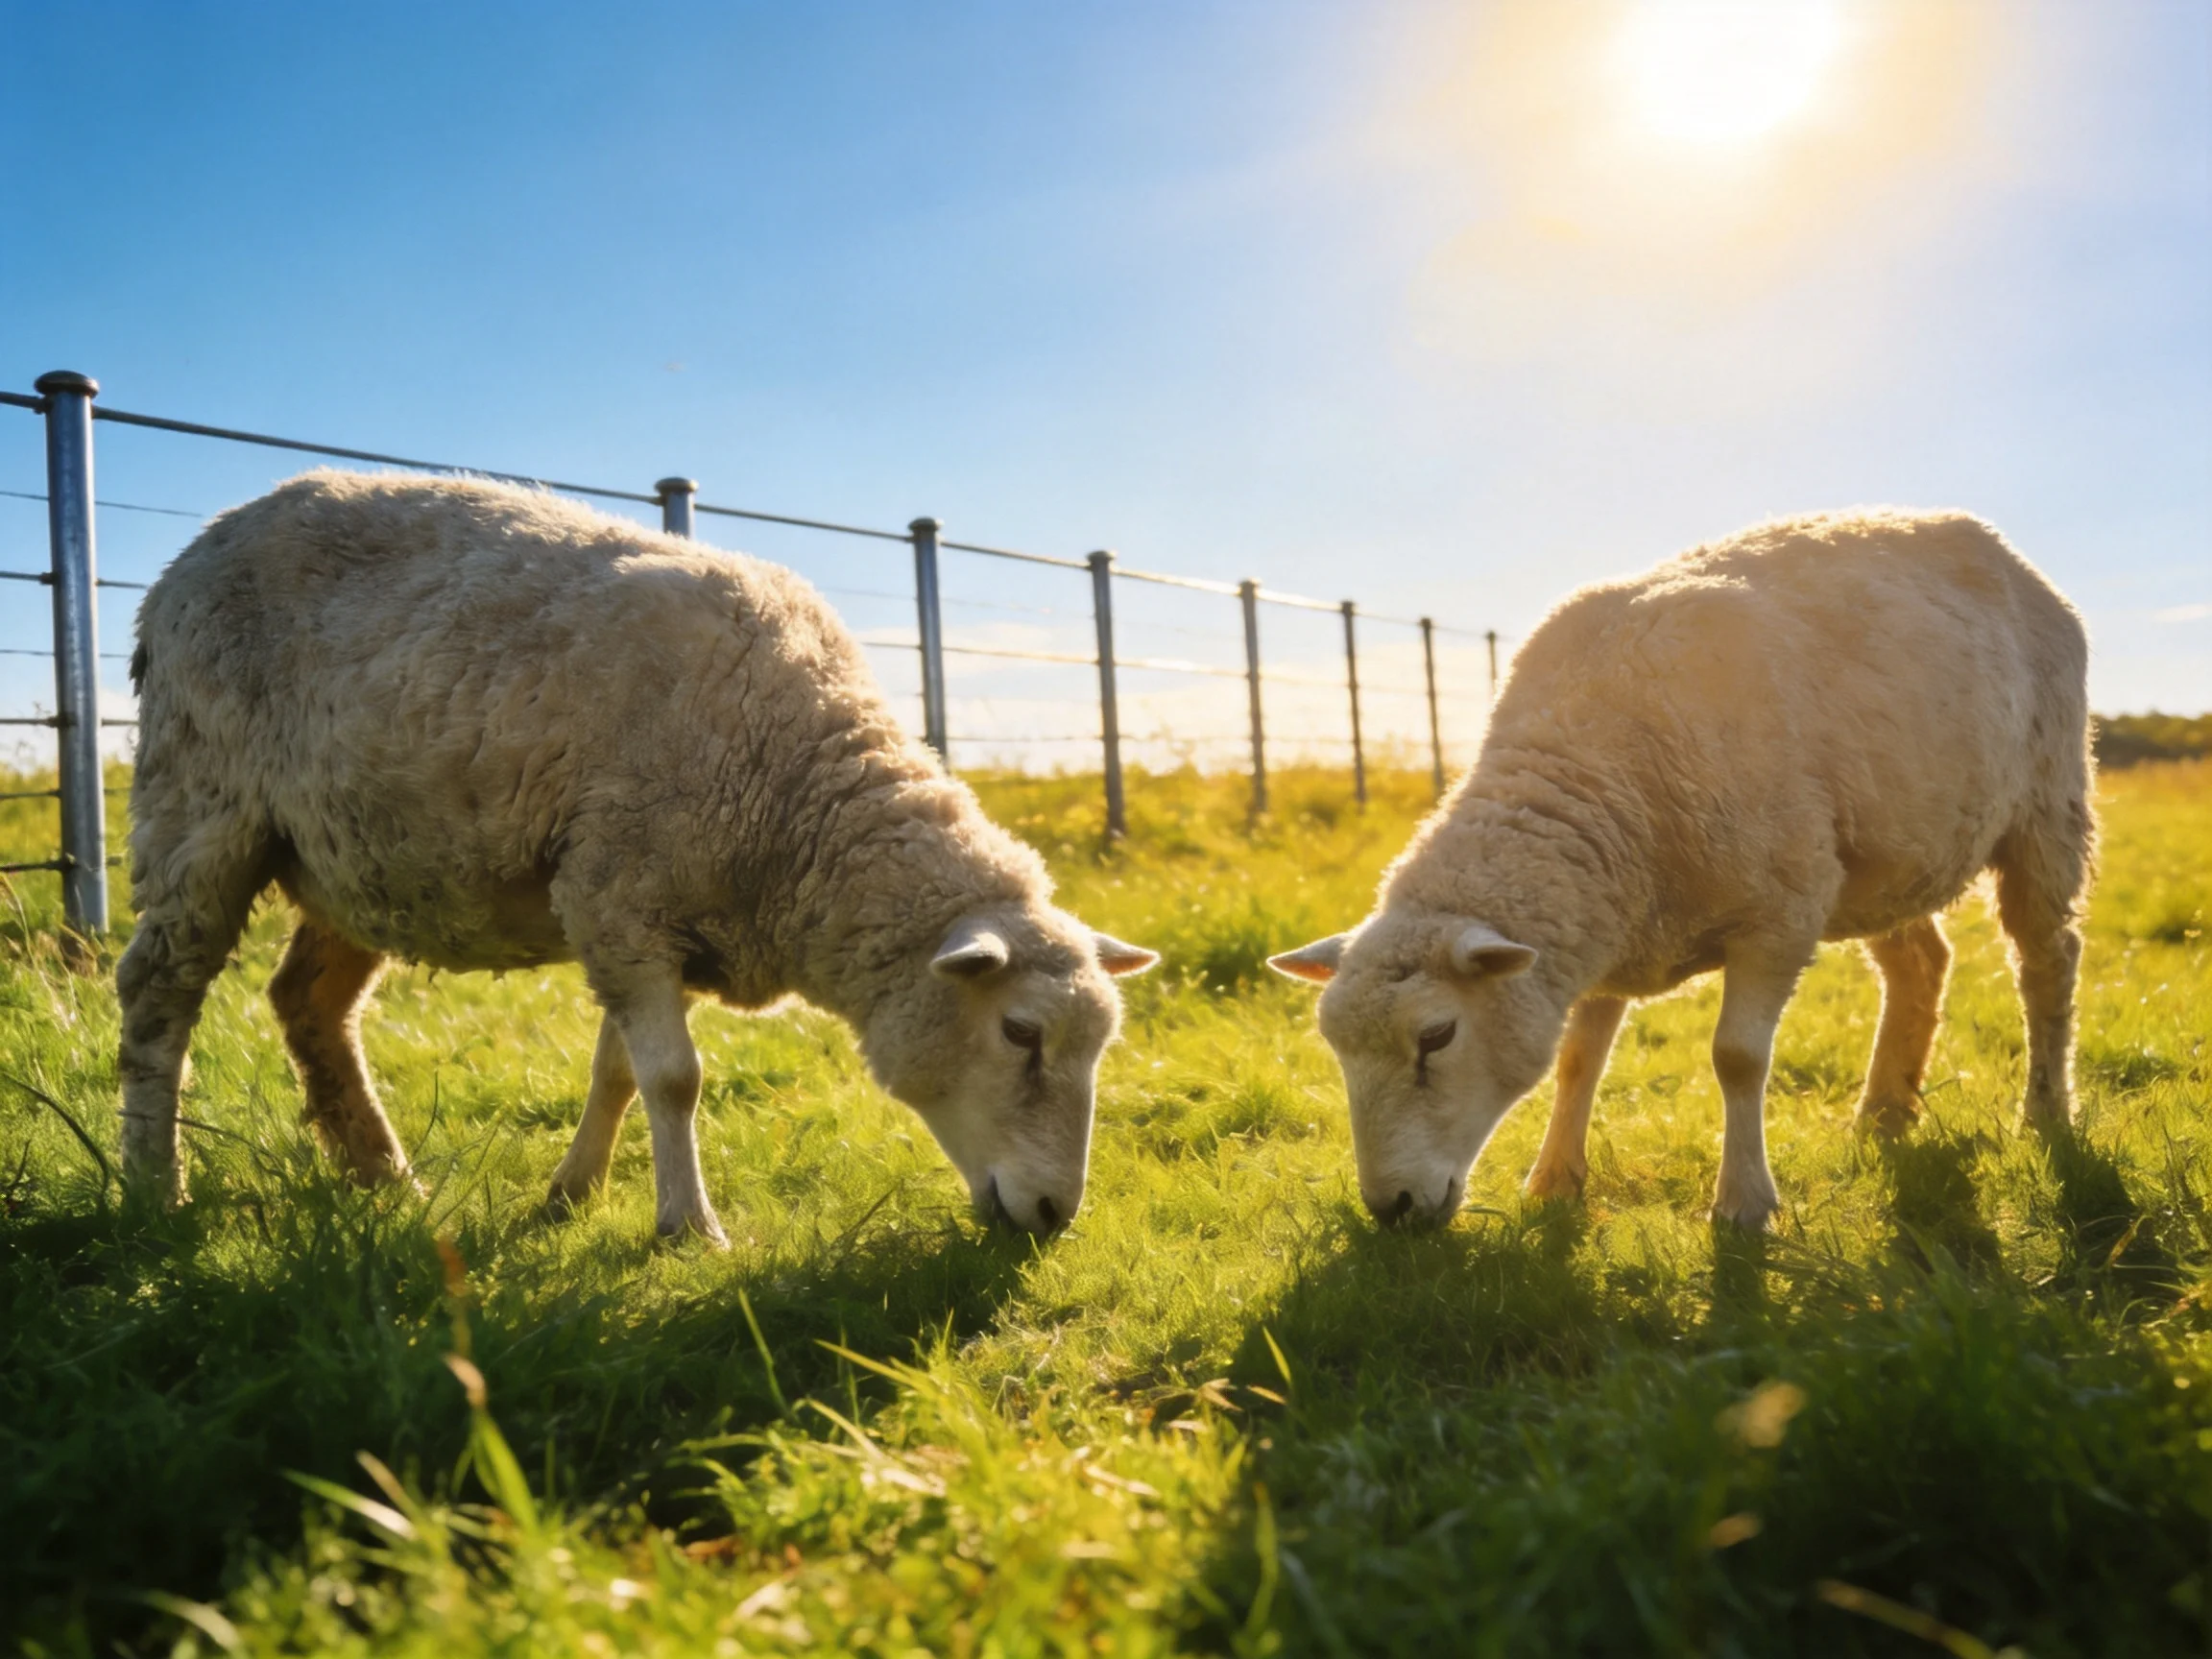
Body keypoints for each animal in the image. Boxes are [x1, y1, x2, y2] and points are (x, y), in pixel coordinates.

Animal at [116, 469, 1156, 1242]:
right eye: (1020, 1033)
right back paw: (152, 1189)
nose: (1056, 1214)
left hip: (353, 857)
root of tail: (187, 558)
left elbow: (618, 1071)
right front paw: (688, 1227)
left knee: (309, 1004)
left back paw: (383, 1177)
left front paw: (571, 1193)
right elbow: (674, 1080)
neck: (798, 802)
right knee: (157, 992)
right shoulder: (617, 892)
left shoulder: (645, 916)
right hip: (201, 800)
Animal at [1270, 510, 2093, 1231]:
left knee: (2047, 960)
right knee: (1921, 963)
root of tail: (1996, 545)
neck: (1593, 781)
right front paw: (1554, 1180)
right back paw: (1884, 1115)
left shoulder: (1781, 911)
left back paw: (2045, 1111)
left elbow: (1737, 1058)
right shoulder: (1609, 920)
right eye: (1336, 1048)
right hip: (1880, 855)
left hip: (2046, 803)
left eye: (1437, 1037)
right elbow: (1578, 1059)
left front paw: (1743, 1204)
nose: (1392, 1210)